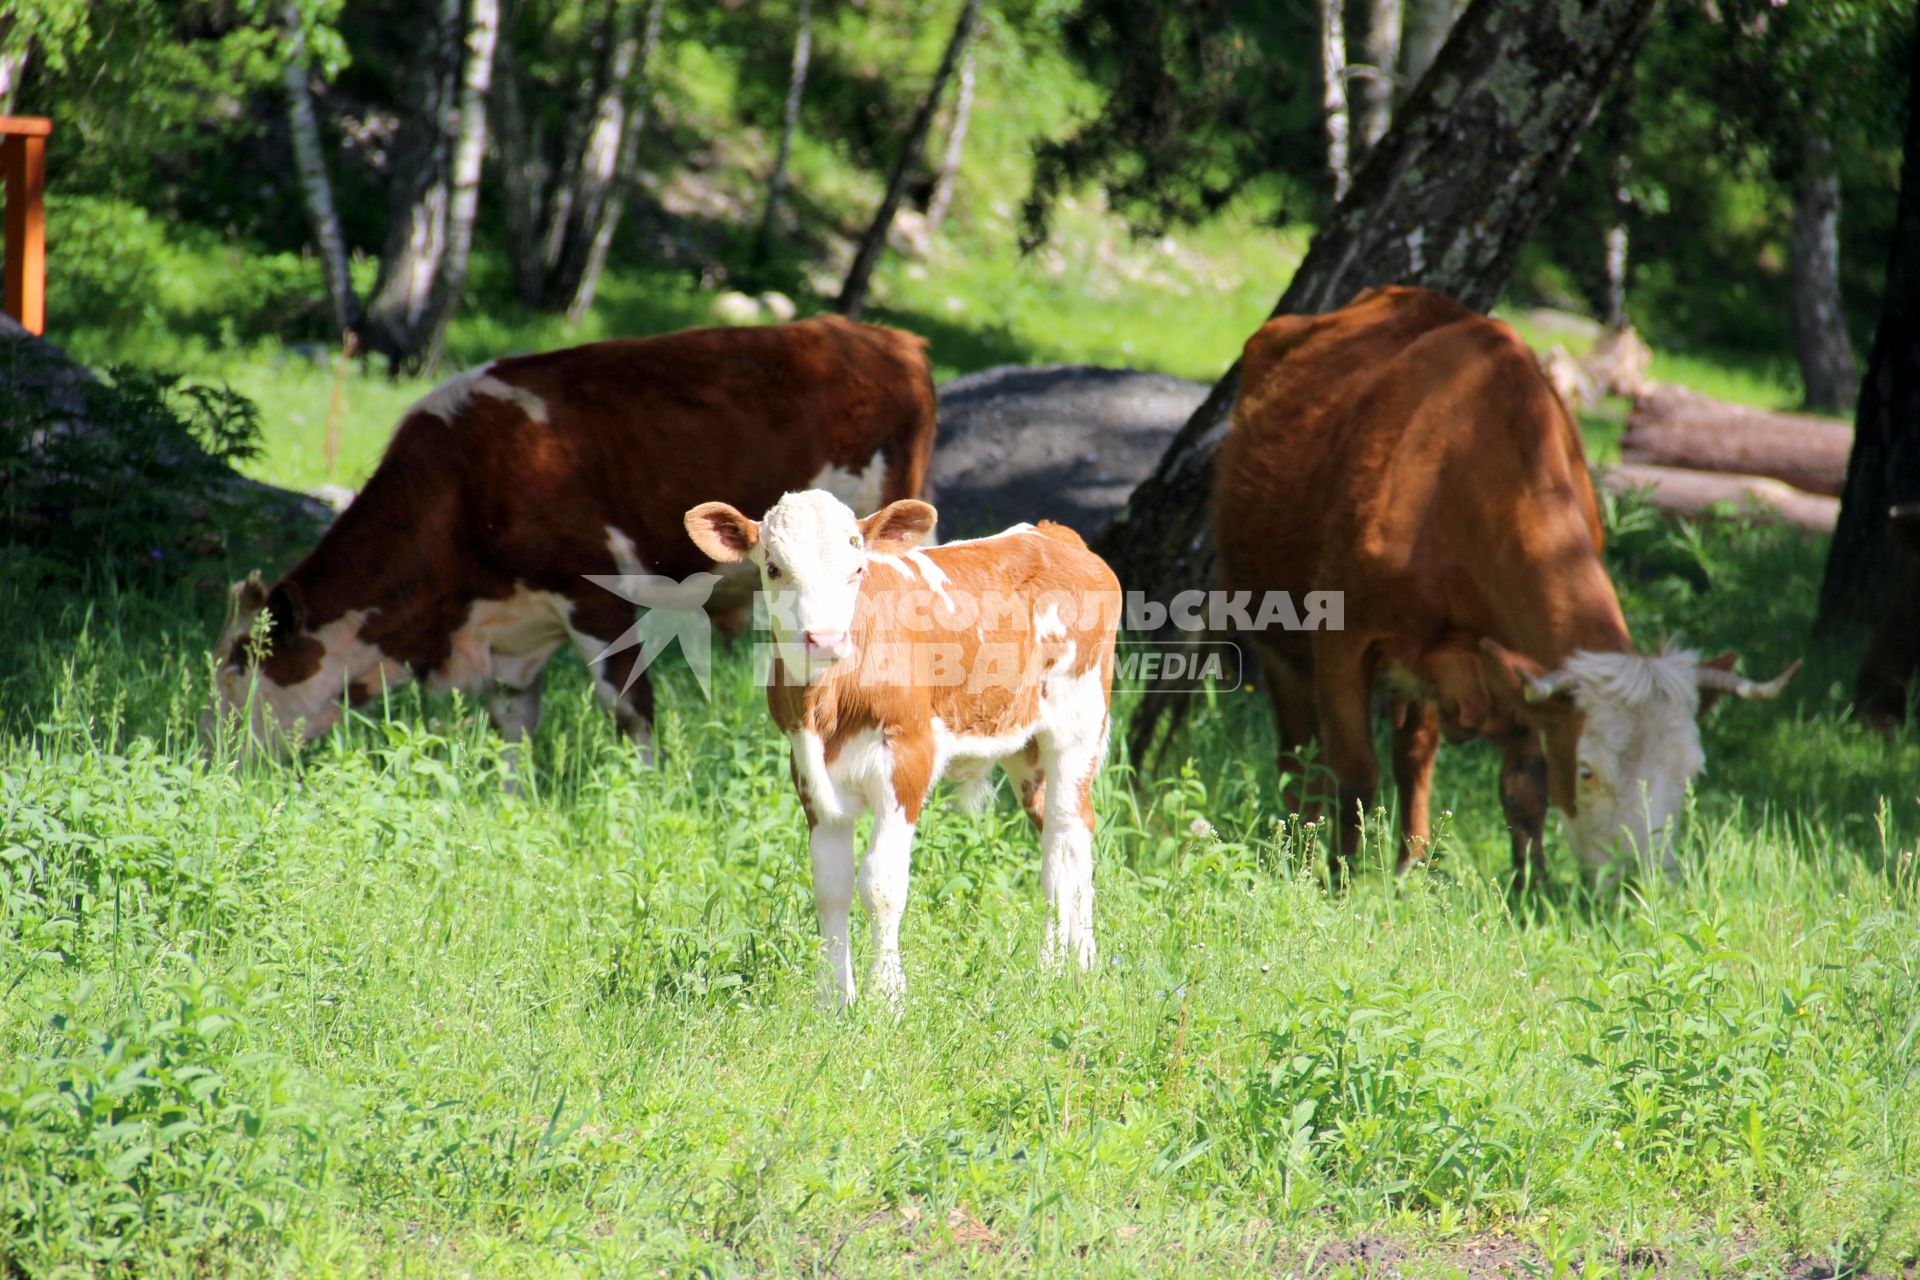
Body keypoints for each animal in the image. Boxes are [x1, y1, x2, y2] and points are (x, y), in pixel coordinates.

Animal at [204, 314, 936, 767]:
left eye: (238, 674)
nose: (207, 764)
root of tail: (889, 340)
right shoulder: (512, 630)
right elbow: (512, 727)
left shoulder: (595, 594)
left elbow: (630, 709)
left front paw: (646, 795)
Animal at [687, 495, 1121, 1005]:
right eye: (774, 568)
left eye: (857, 568)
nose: (827, 638)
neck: (826, 707)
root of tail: (1051, 534)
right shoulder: (809, 776)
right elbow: (831, 886)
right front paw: (833, 1000)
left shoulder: (908, 759)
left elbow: (881, 883)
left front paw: (887, 996)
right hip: (1026, 745)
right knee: (1052, 839)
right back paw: (1051, 965)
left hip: (1079, 724)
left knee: (1072, 829)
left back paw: (1083, 963)